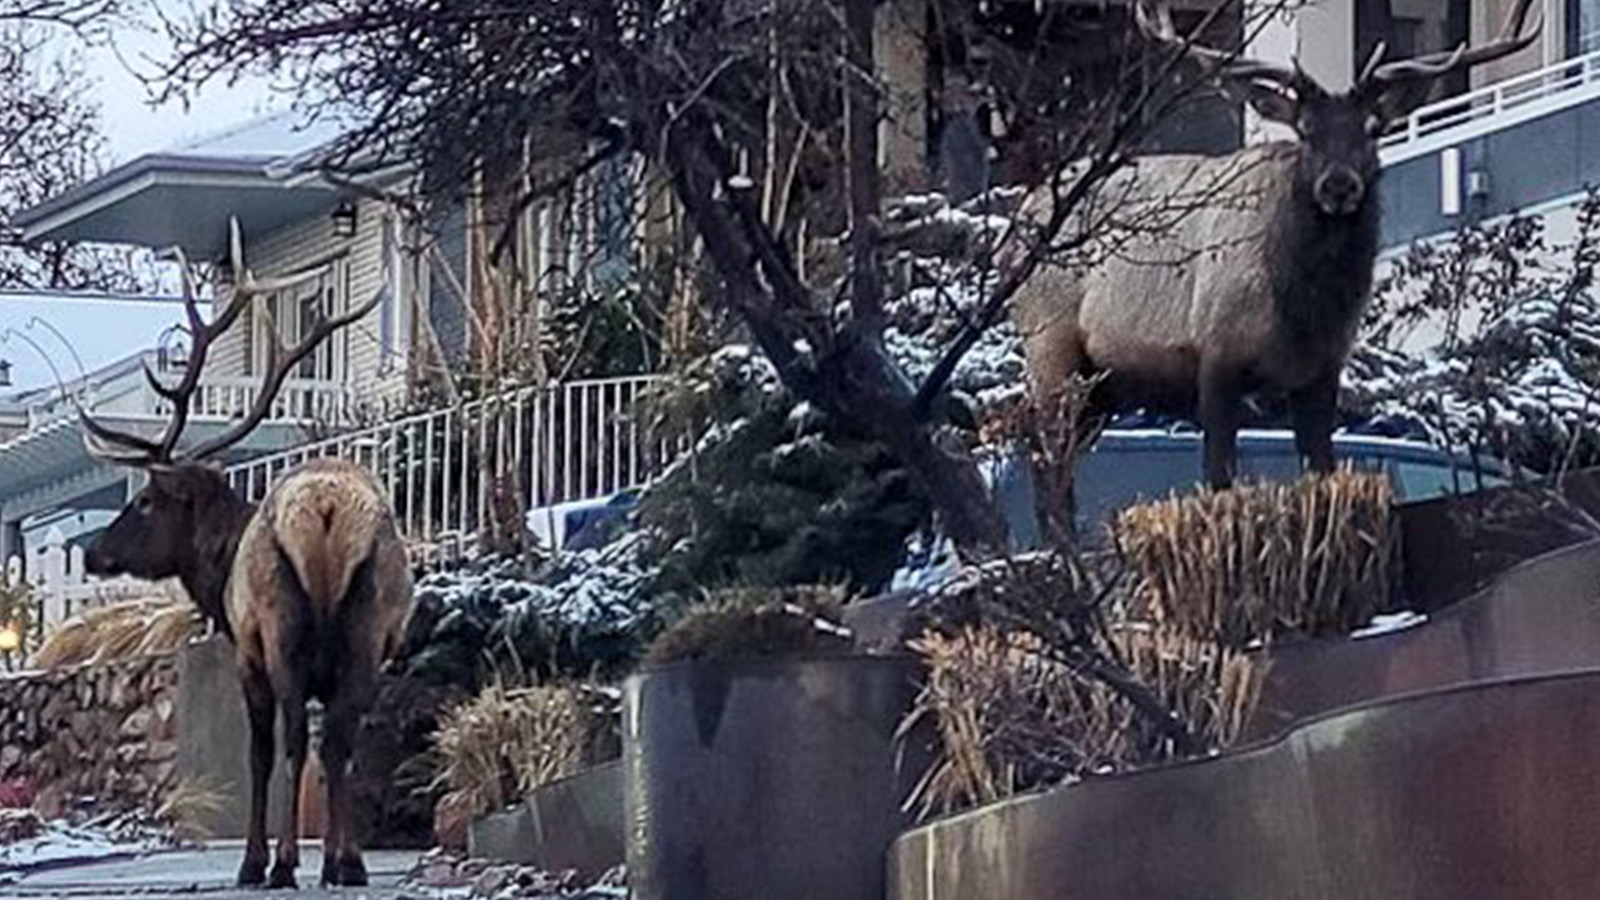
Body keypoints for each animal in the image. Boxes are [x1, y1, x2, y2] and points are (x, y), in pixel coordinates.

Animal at [77, 221, 413, 890]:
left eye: (148, 500)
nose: (95, 553)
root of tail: (328, 510)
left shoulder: (246, 651)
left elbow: (257, 752)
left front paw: (256, 861)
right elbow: (336, 749)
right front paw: (333, 857)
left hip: (281, 626)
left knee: (294, 740)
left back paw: (280, 864)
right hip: (369, 627)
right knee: (341, 738)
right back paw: (350, 864)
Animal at [1012, 0, 1540, 505]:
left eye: (1373, 128)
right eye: (1305, 130)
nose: (1339, 185)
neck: (1303, 307)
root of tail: (1018, 223)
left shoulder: (1322, 371)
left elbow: (1321, 469)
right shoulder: (1216, 352)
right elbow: (1218, 475)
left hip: (1104, 385)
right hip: (1049, 344)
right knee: (1046, 464)